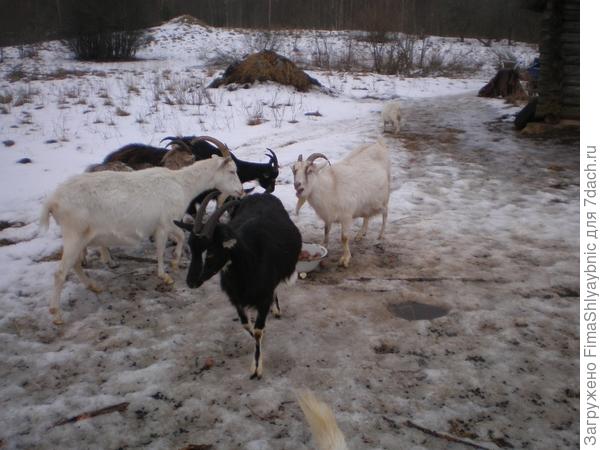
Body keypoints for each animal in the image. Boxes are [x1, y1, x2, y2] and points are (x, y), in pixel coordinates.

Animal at [39, 146, 243, 326]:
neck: (181, 184)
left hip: (81, 237)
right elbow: (163, 248)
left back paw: (93, 286)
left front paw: (175, 262)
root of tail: (52, 202)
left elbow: (180, 237)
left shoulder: (167, 224)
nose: (241, 191)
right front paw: (165, 274)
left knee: (74, 264)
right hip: (74, 234)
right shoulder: (164, 224)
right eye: (232, 171)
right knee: (60, 272)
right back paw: (56, 315)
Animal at [176, 192, 302, 378]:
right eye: (192, 249)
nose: (191, 282)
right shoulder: (235, 298)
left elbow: (257, 330)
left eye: (211, 253)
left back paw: (277, 309)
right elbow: (247, 326)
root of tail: (261, 194)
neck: (250, 262)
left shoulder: (264, 297)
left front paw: (256, 368)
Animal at [292, 140, 392, 268]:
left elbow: (344, 238)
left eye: (309, 171)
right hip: (367, 202)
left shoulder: (346, 216)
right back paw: (360, 234)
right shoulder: (328, 216)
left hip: (384, 196)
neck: (331, 186)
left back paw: (380, 236)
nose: (297, 185)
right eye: (294, 170)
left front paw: (345, 259)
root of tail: (378, 143)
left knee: (385, 213)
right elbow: (326, 232)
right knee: (367, 215)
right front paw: (323, 246)